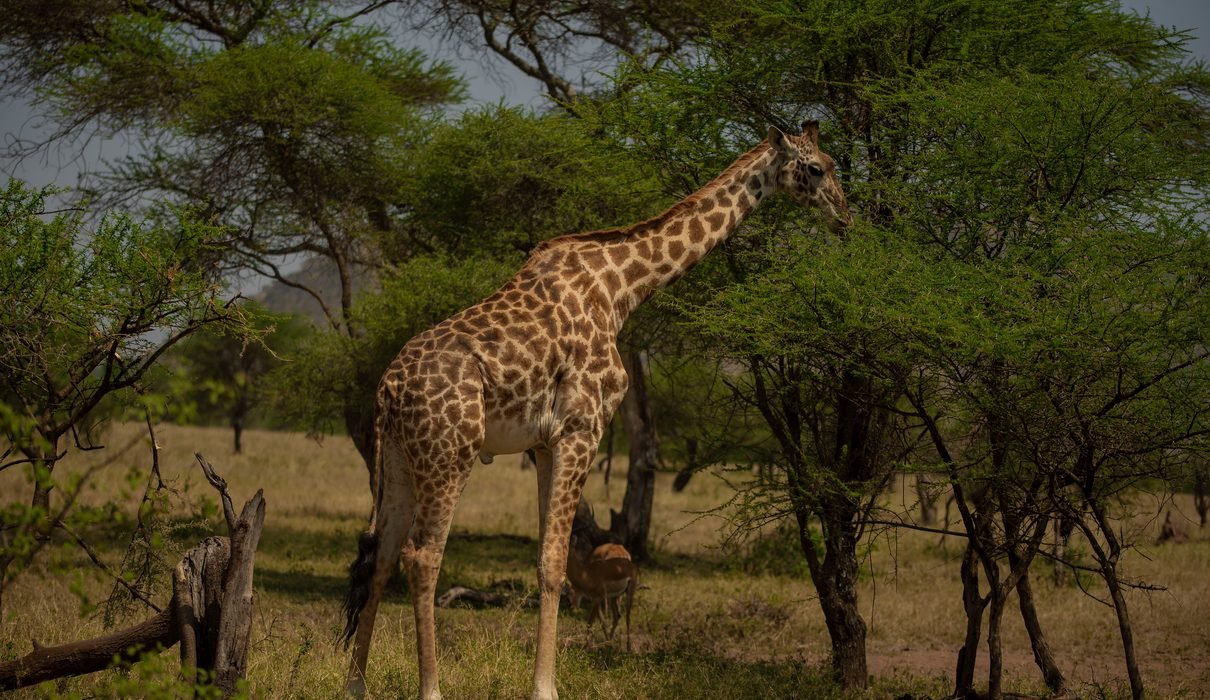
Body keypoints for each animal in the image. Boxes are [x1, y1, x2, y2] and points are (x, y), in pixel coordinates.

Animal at [341, 121, 852, 700]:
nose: (844, 214)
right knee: (422, 556)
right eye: (817, 168)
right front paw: (545, 688)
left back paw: (355, 684)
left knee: (382, 555)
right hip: (451, 453)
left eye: (834, 164)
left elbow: (550, 557)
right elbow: (554, 561)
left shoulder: (544, 442)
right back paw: (431, 688)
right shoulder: (582, 428)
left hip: (399, 459)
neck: (622, 286)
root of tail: (388, 389)